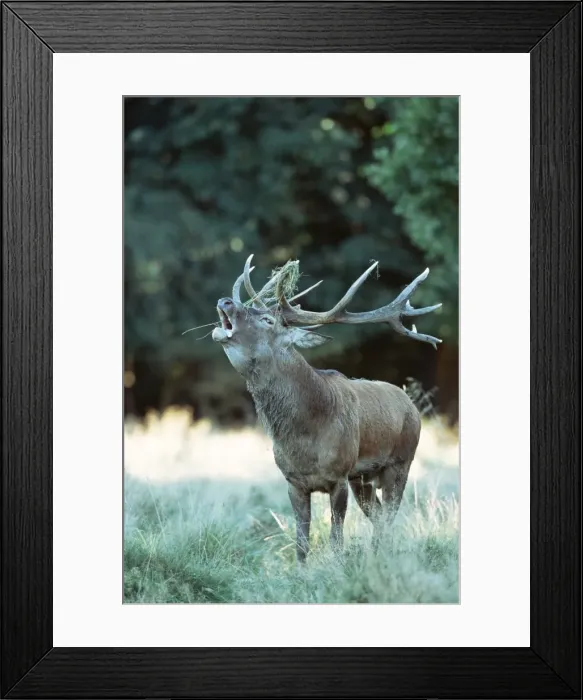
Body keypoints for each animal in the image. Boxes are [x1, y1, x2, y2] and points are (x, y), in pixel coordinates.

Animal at [212, 255, 442, 563]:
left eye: (267, 319)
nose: (225, 300)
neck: (305, 435)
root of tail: (410, 404)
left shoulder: (339, 475)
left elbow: (336, 539)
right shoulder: (293, 481)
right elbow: (301, 543)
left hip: (401, 461)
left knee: (390, 515)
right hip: (363, 478)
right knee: (379, 517)